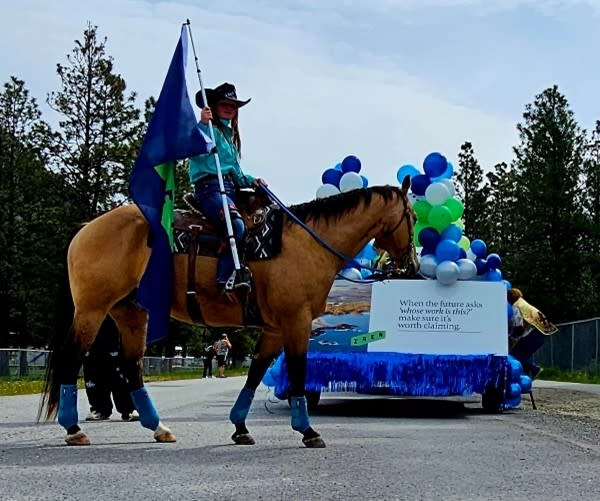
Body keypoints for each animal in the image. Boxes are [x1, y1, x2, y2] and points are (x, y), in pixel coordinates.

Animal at [37, 179, 418, 446]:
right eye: (413, 217)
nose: (411, 265)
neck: (307, 243)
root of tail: (87, 228)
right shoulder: (296, 321)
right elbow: (297, 372)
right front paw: (308, 430)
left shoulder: (274, 329)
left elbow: (255, 373)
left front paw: (240, 426)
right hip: (93, 309)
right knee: (73, 358)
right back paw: (74, 428)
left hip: (130, 313)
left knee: (131, 367)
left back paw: (158, 427)